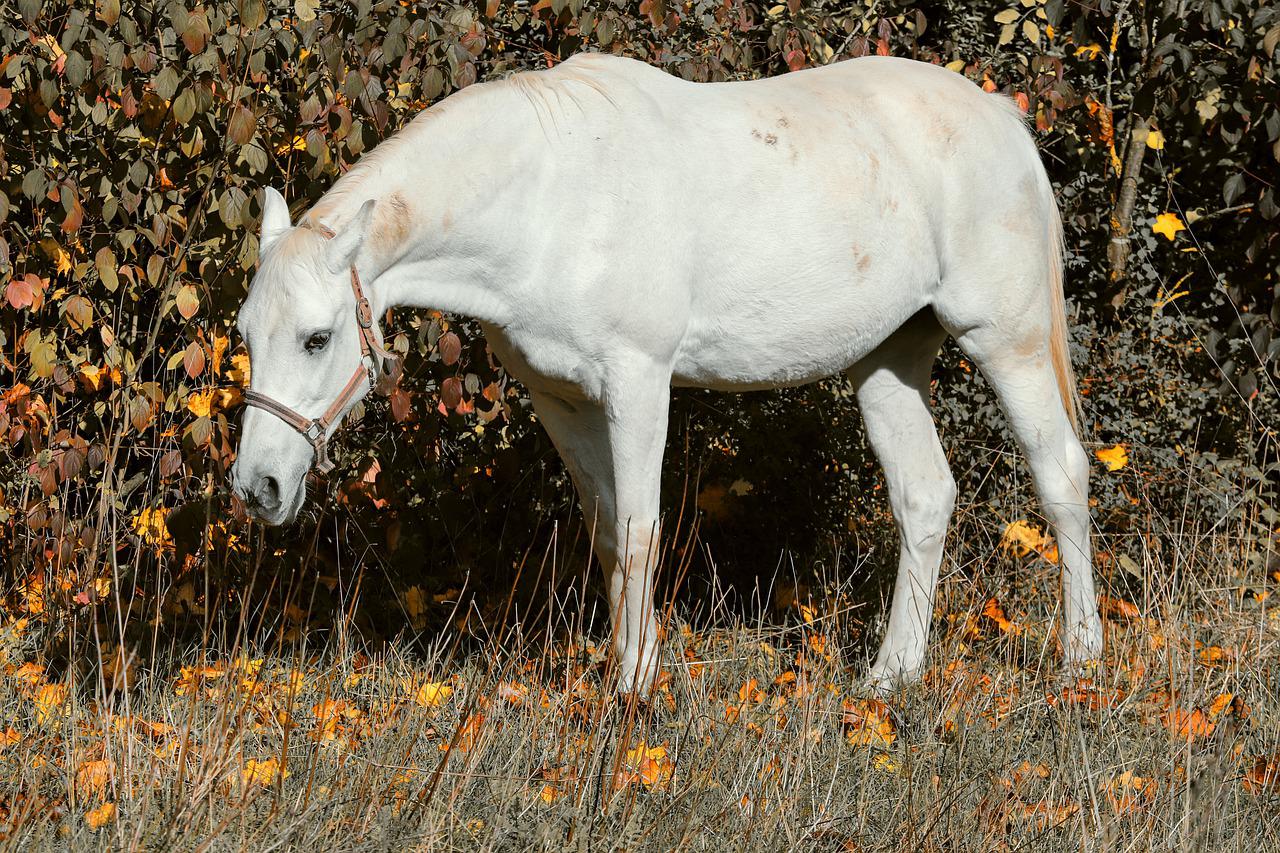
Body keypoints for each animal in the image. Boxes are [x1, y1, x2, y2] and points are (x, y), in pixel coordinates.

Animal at [227, 51, 1100, 691]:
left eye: (316, 338)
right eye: (246, 334)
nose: (258, 486)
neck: (547, 201)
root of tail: (1001, 118)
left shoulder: (638, 382)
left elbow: (644, 530)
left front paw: (634, 692)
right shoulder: (562, 400)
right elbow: (611, 532)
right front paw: (634, 670)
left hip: (1008, 340)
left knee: (1060, 474)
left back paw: (1079, 659)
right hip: (888, 361)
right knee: (924, 496)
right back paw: (891, 676)